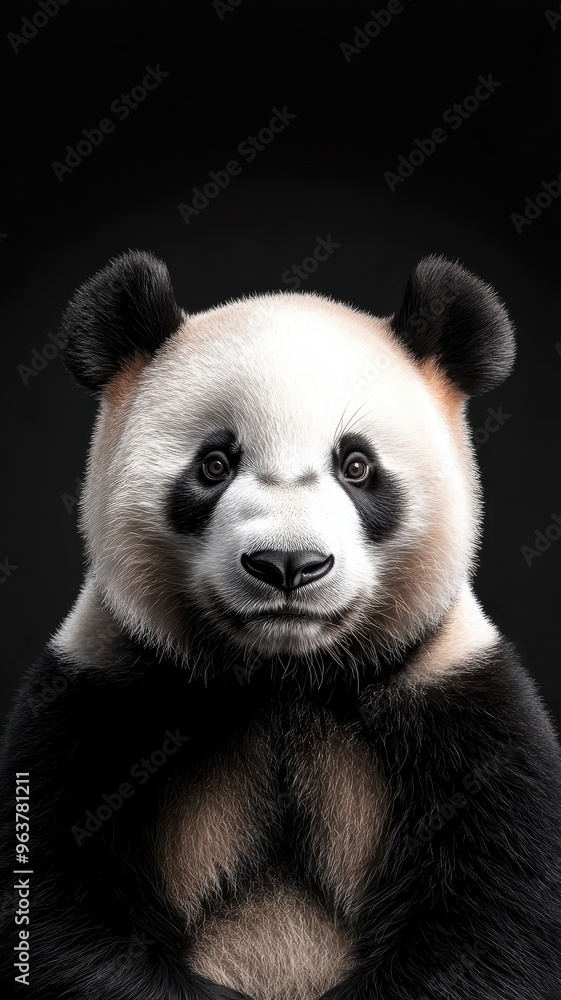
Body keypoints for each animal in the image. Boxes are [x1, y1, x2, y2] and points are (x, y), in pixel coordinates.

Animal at [1, 251, 561, 1000]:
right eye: (214, 464)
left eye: (356, 465)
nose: (288, 564)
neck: (284, 675)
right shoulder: (99, 695)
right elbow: (63, 921)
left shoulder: (464, 709)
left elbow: (490, 930)